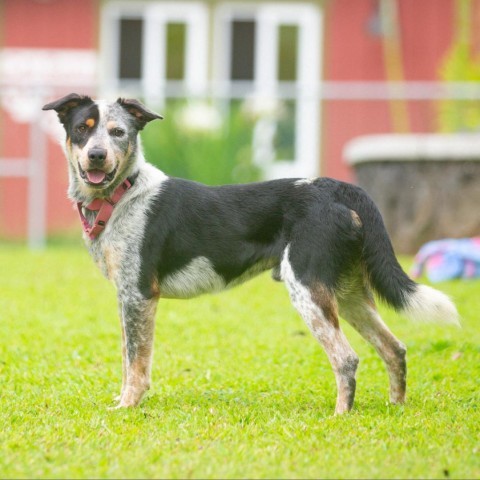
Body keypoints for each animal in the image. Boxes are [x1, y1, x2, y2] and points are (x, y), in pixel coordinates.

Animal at [42, 94, 458, 412]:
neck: (121, 194)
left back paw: (341, 415)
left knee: (347, 358)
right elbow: (128, 359)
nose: (97, 156)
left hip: (307, 288)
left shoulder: (139, 295)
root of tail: (337, 187)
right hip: (348, 293)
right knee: (395, 348)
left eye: (119, 133)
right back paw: (396, 408)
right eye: (82, 129)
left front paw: (127, 407)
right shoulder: (126, 297)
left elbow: (137, 365)